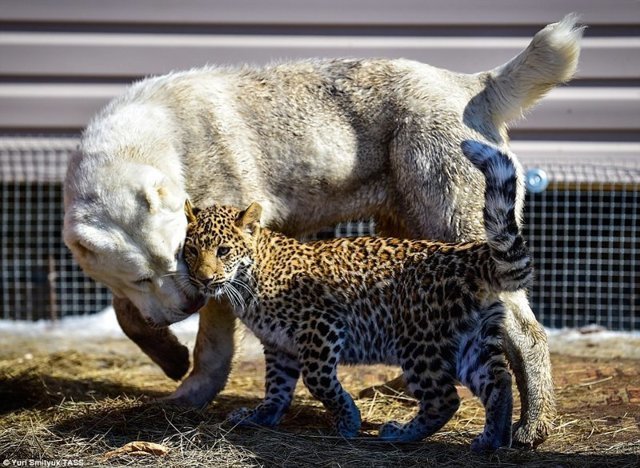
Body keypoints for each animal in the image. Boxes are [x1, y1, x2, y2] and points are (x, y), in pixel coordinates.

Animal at [63, 17, 580, 446]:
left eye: (179, 257)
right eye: (143, 275)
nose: (189, 305)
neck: (160, 143)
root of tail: (469, 83)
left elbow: (211, 347)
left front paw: (188, 395)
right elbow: (127, 313)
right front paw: (169, 355)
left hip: (454, 220)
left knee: (527, 335)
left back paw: (533, 425)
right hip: (409, 231)